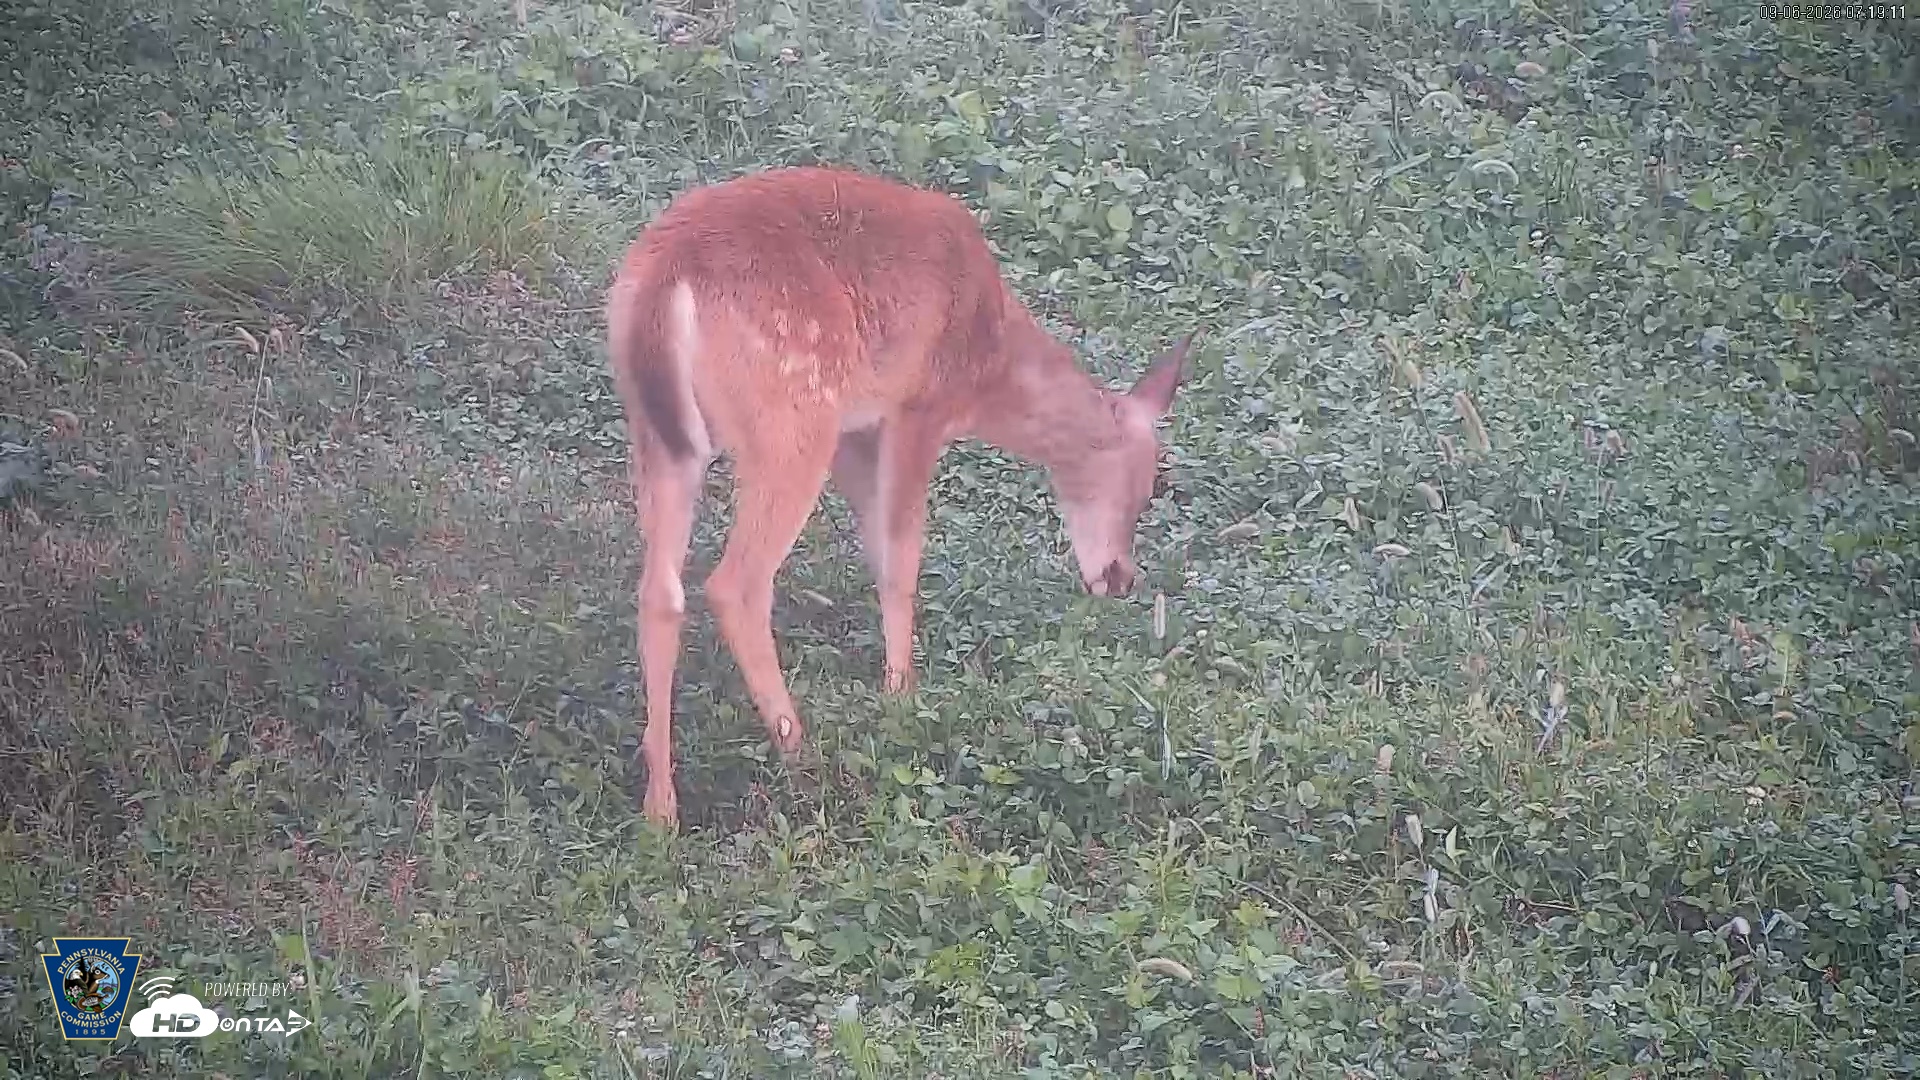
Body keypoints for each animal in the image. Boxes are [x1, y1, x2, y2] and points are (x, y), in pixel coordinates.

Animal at [605, 165, 1190, 827]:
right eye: (1147, 487)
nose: (1120, 576)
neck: (991, 362)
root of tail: (663, 285)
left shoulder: (858, 430)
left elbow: (878, 548)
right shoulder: (918, 405)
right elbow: (902, 557)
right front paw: (902, 696)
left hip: (663, 435)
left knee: (660, 592)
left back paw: (661, 809)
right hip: (793, 420)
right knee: (737, 583)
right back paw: (798, 752)